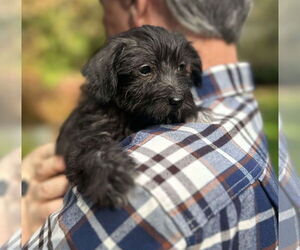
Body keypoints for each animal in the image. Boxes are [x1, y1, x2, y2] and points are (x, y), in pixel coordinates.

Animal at [56, 25, 202, 208]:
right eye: (145, 69)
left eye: (181, 67)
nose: (178, 100)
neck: (132, 116)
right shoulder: (87, 137)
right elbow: (96, 152)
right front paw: (111, 176)